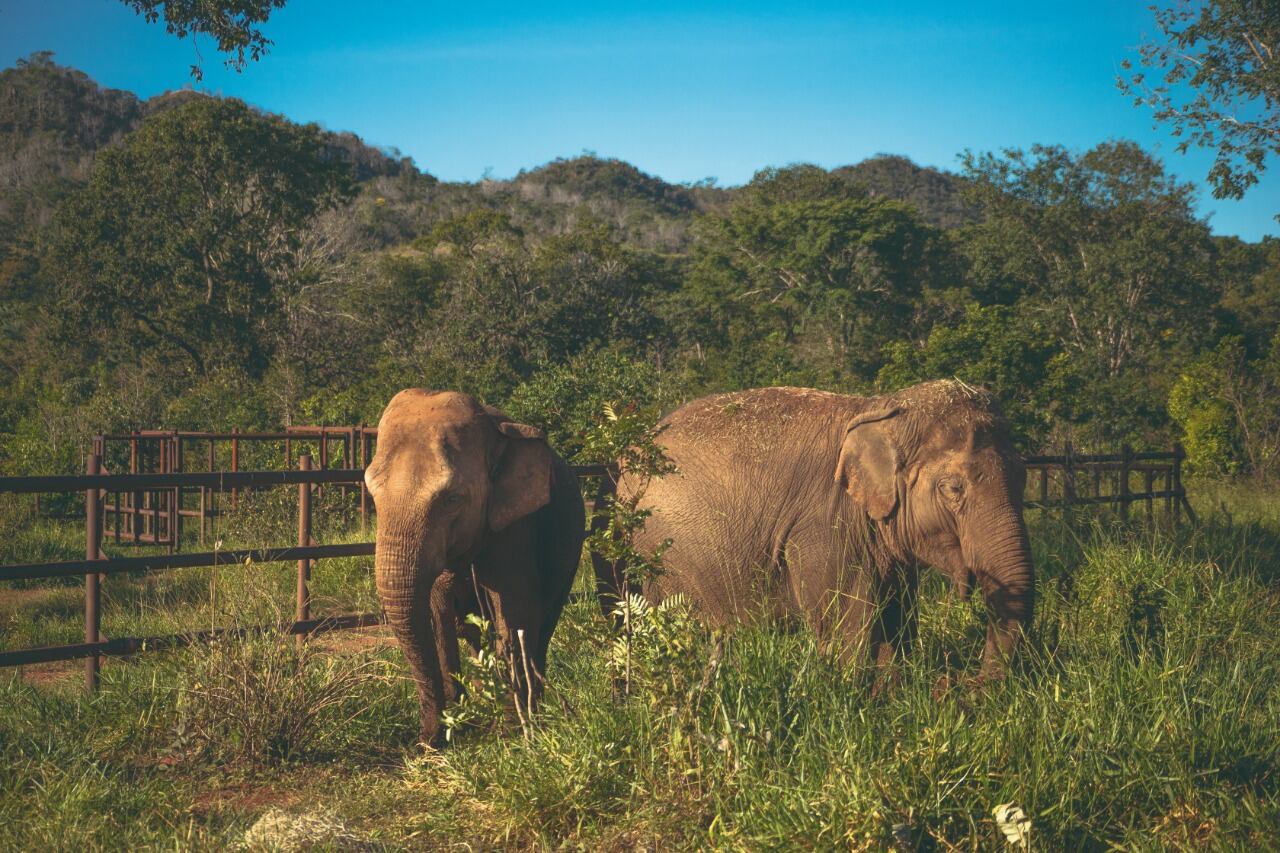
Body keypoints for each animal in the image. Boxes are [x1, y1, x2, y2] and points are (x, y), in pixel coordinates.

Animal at [366, 389, 586, 742]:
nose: (425, 740)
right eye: (372, 496)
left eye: (452, 499)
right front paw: (453, 728)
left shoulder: (516, 527)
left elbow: (515, 610)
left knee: (544, 623)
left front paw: (510, 732)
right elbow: (438, 612)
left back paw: (531, 710)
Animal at [593, 379, 1034, 676]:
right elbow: (847, 629)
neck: (883, 410)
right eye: (953, 488)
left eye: (1024, 476)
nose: (971, 692)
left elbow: (897, 621)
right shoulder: (824, 525)